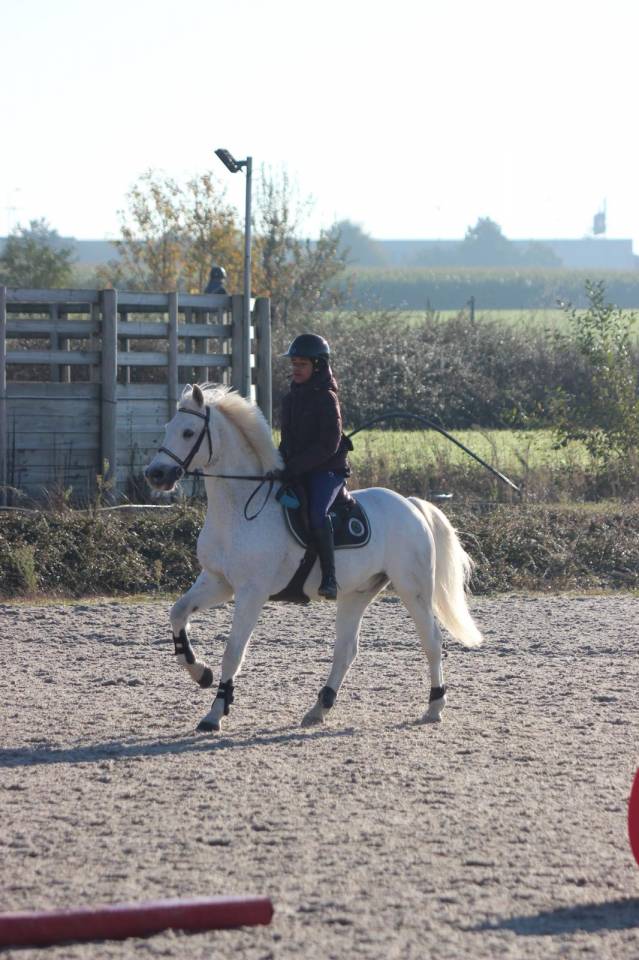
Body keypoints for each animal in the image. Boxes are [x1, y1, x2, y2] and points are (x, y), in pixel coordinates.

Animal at [144, 383, 483, 733]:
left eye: (188, 432)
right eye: (167, 428)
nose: (155, 474)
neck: (238, 509)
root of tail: (411, 504)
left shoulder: (251, 592)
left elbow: (233, 652)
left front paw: (215, 713)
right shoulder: (217, 582)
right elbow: (177, 612)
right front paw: (201, 673)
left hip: (412, 589)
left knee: (432, 641)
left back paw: (435, 706)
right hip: (356, 593)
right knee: (346, 650)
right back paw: (319, 708)